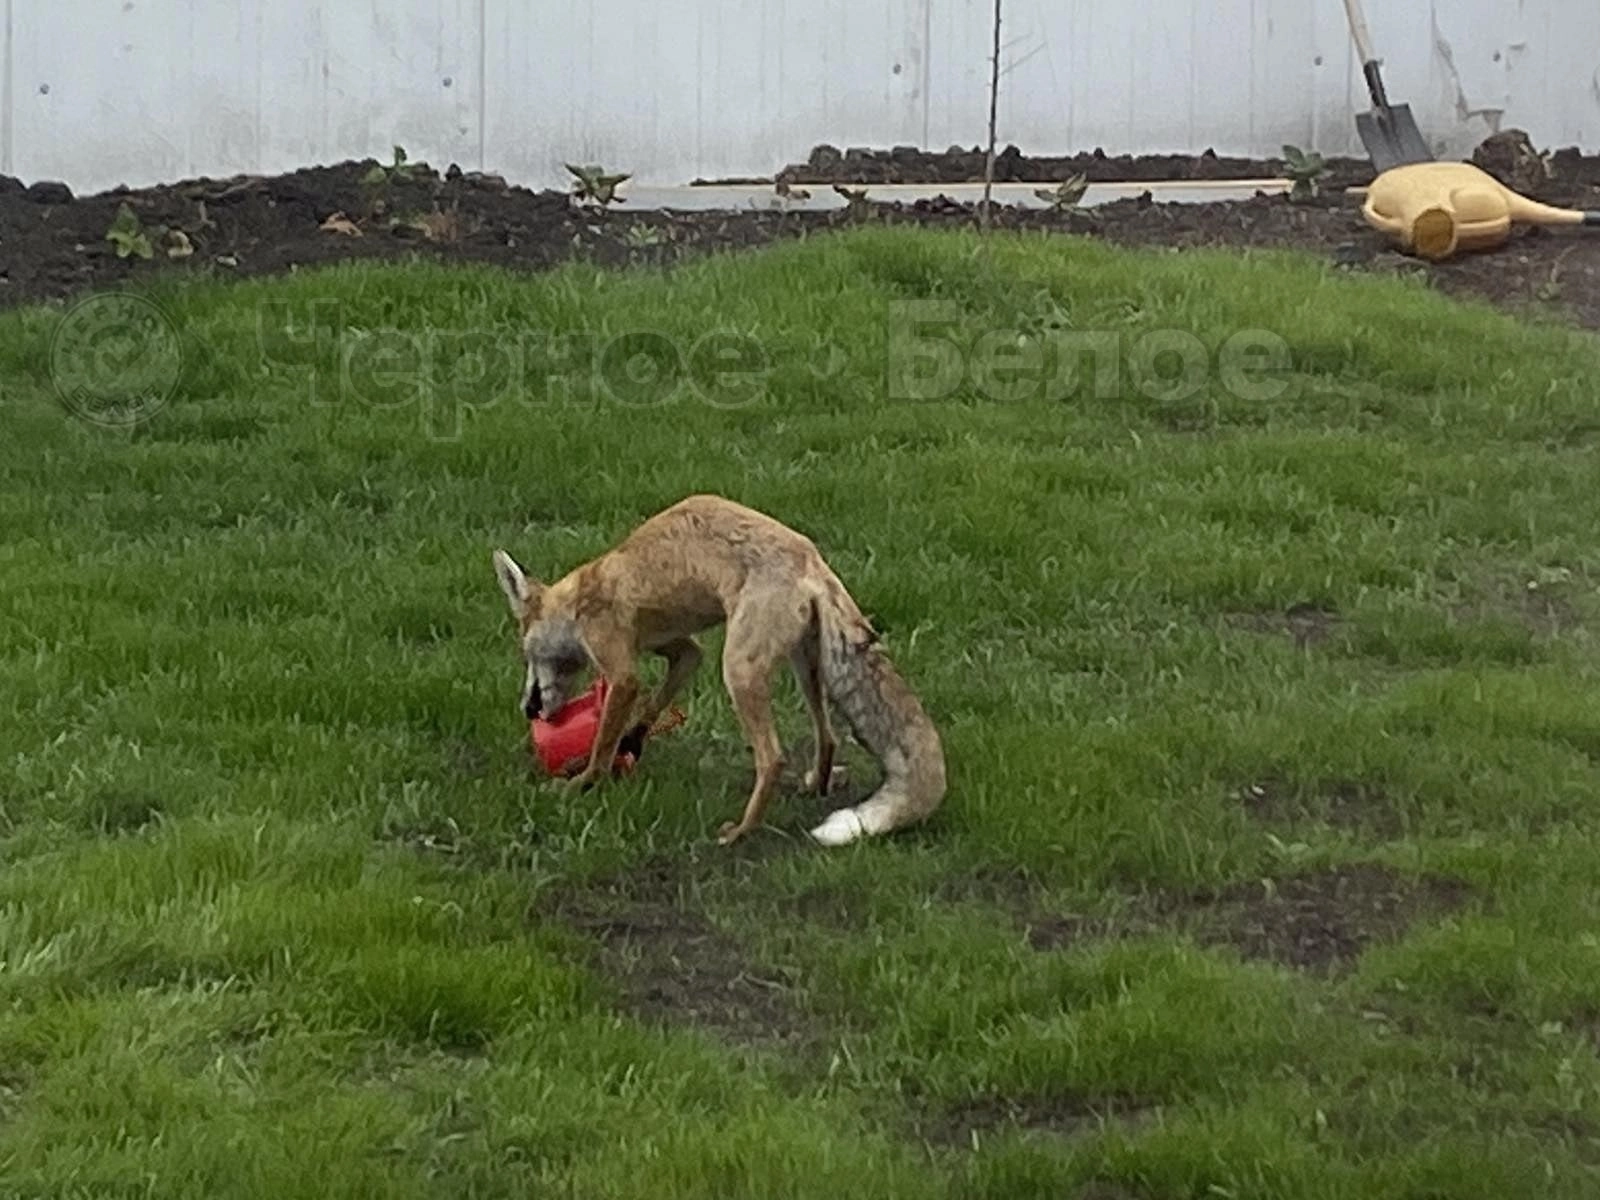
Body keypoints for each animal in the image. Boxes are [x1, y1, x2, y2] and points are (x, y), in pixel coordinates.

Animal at [492, 492, 940, 851]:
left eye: (523, 652)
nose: (528, 709)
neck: (582, 597)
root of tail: (811, 560)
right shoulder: (681, 649)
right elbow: (655, 702)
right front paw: (633, 741)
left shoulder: (621, 671)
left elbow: (603, 743)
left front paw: (583, 783)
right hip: (805, 666)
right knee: (827, 736)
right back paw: (816, 786)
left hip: (739, 670)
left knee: (772, 758)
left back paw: (741, 831)